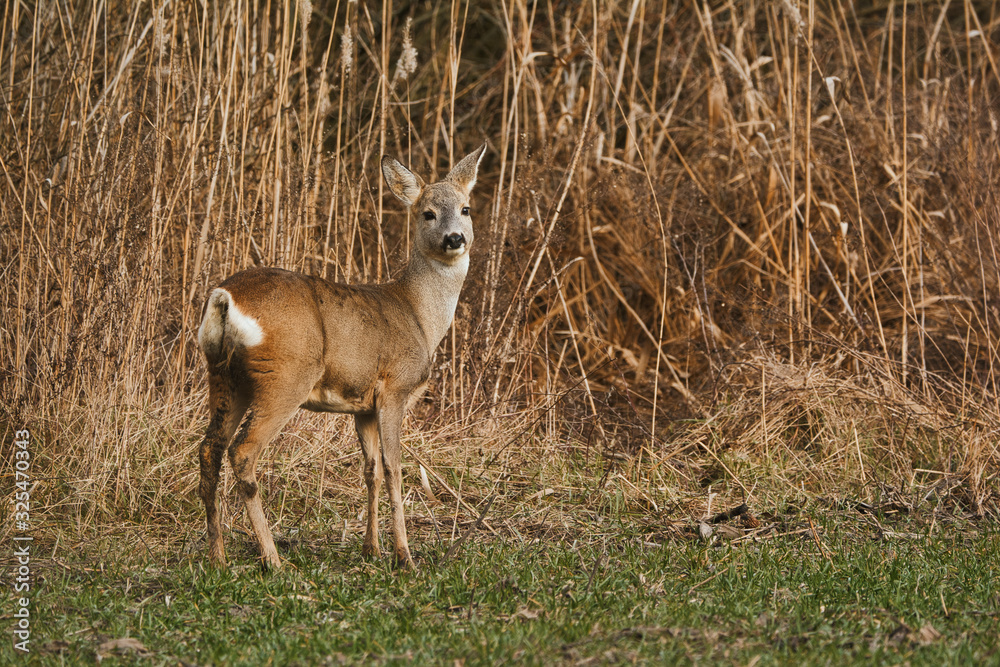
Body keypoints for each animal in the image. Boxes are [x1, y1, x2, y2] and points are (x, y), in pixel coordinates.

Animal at [196, 145, 487, 571]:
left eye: (465, 208)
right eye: (427, 213)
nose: (454, 238)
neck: (419, 315)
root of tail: (223, 299)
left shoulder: (363, 405)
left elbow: (371, 471)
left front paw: (372, 549)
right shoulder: (395, 389)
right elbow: (394, 468)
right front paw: (404, 557)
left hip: (223, 377)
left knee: (209, 449)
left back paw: (217, 557)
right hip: (285, 375)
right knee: (243, 451)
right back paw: (273, 560)